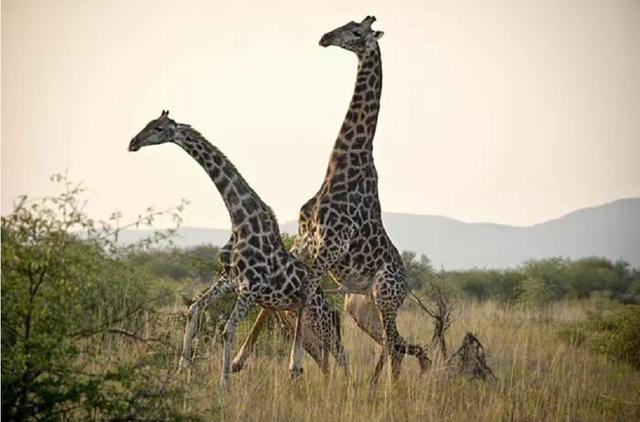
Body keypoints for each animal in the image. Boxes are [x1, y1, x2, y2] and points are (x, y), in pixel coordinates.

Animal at [129, 110, 344, 388]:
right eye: (147, 123)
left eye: (157, 128)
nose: (133, 142)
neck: (240, 220)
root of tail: (324, 297)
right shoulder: (229, 281)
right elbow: (194, 309)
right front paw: (182, 369)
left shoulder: (250, 288)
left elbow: (227, 330)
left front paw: (225, 384)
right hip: (295, 316)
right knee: (322, 356)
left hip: (318, 317)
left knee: (340, 352)